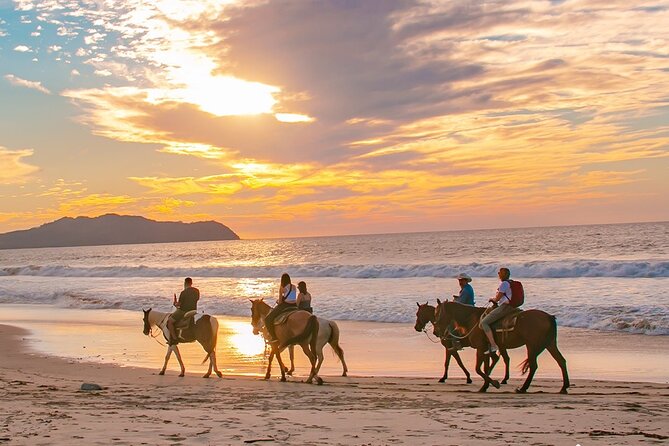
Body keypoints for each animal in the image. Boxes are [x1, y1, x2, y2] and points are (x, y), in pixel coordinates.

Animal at [430, 300, 568, 394]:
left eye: (436, 313)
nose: (435, 331)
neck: (472, 319)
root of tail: (549, 317)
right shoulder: (485, 349)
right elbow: (485, 368)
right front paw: (485, 386)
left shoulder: (480, 348)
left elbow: (478, 369)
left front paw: (494, 383)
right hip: (550, 344)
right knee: (561, 361)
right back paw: (564, 387)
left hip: (532, 345)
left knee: (533, 366)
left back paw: (523, 388)